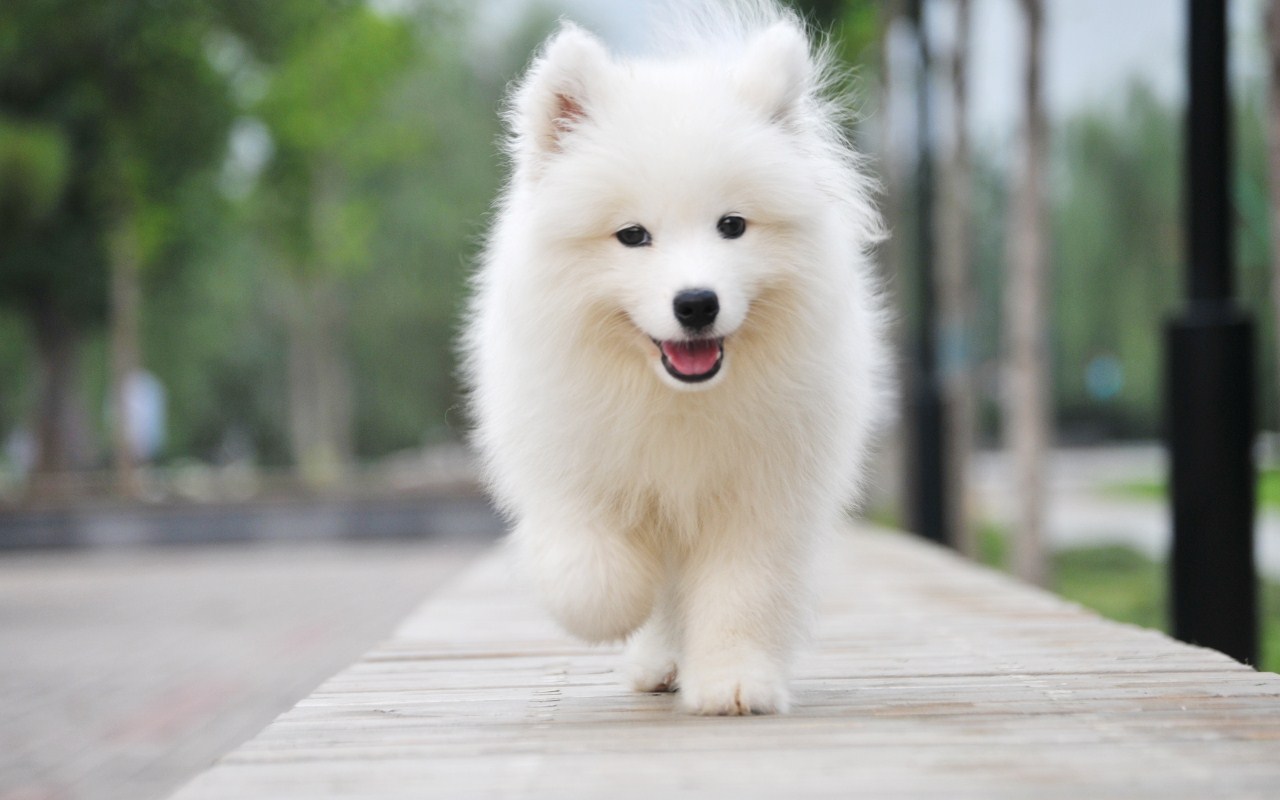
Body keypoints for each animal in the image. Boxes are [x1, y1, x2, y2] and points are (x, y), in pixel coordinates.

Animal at [460, 0, 890, 711]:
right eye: (633, 235)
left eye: (732, 226)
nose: (696, 303)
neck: (675, 397)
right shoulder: (572, 462)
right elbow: (590, 566)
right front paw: (616, 610)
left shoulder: (760, 491)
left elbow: (741, 590)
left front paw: (735, 680)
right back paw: (653, 657)